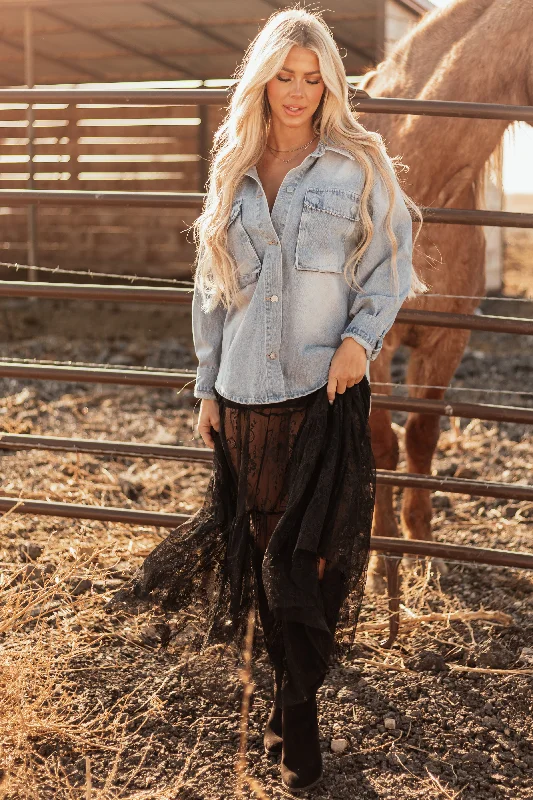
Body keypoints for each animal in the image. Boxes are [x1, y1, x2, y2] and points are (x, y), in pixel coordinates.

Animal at [358, 0, 528, 592]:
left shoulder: (447, 342)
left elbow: (421, 438)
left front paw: (423, 549)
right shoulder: (374, 347)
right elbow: (381, 442)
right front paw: (379, 562)